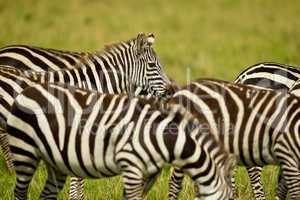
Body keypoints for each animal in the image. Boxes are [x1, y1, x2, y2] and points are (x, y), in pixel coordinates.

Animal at [4, 82, 234, 200]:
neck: (160, 135)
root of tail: (28, 89)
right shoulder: (131, 165)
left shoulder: (147, 173)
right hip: (24, 152)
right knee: (20, 190)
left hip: (55, 161)